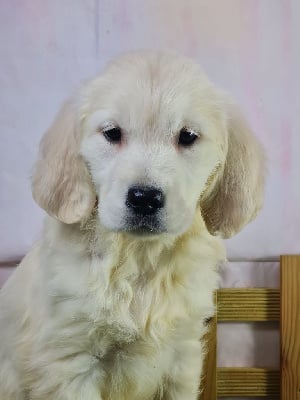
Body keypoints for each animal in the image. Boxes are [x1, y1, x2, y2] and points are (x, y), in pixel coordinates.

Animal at [0, 51, 264, 398]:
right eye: (112, 133)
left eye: (187, 136)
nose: (144, 198)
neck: (139, 260)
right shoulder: (70, 361)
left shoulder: (182, 357)